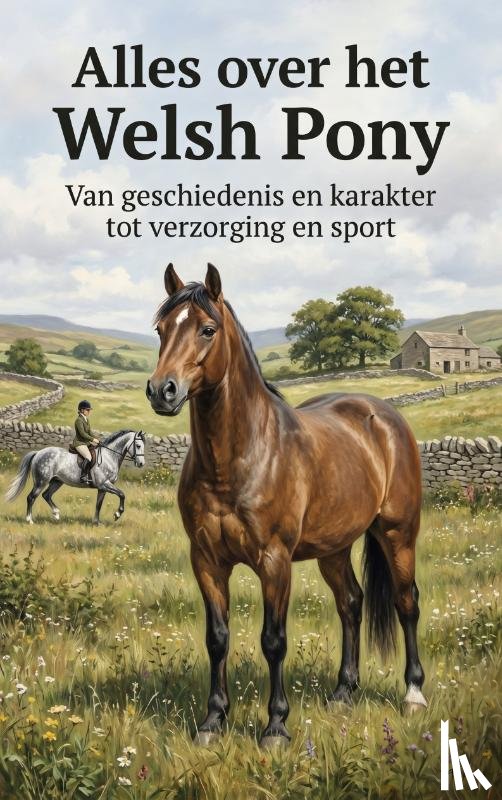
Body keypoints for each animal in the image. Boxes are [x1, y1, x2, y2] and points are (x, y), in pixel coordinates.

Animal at [5, 430, 145, 525]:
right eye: (138, 446)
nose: (141, 464)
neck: (109, 456)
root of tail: (38, 452)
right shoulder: (104, 484)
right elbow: (122, 494)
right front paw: (117, 514)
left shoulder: (102, 488)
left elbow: (98, 504)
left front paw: (96, 522)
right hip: (41, 481)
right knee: (31, 497)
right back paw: (30, 520)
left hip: (56, 482)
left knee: (46, 495)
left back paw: (56, 514)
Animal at [146, 263, 426, 749]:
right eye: (160, 329)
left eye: (207, 329)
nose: (162, 391)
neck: (240, 458)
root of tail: (383, 416)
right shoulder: (206, 560)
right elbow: (217, 638)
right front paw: (212, 721)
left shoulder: (274, 561)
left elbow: (273, 640)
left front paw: (275, 727)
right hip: (334, 547)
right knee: (351, 603)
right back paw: (343, 693)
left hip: (398, 533)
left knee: (406, 602)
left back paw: (413, 694)